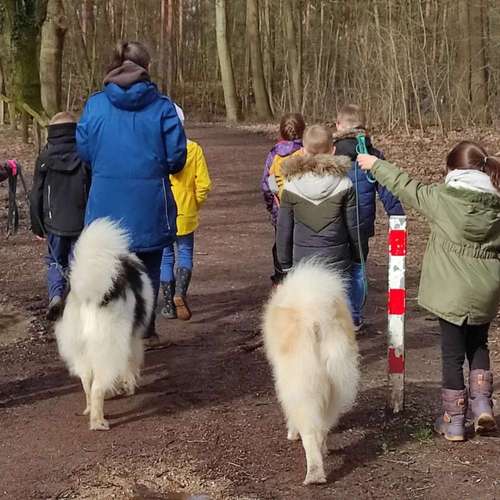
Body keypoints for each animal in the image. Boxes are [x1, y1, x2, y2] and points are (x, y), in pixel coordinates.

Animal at [54, 218, 152, 430]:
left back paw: (90, 410)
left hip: (81, 351)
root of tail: (88, 295)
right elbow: (129, 366)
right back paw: (98, 422)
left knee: (87, 384)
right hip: (109, 347)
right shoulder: (131, 340)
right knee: (97, 388)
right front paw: (128, 386)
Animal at [262, 262, 360, 484]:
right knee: (323, 427)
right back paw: (324, 453)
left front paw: (291, 433)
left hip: (302, 386)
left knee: (310, 433)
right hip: (335, 385)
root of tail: (317, 318)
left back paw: (314, 475)